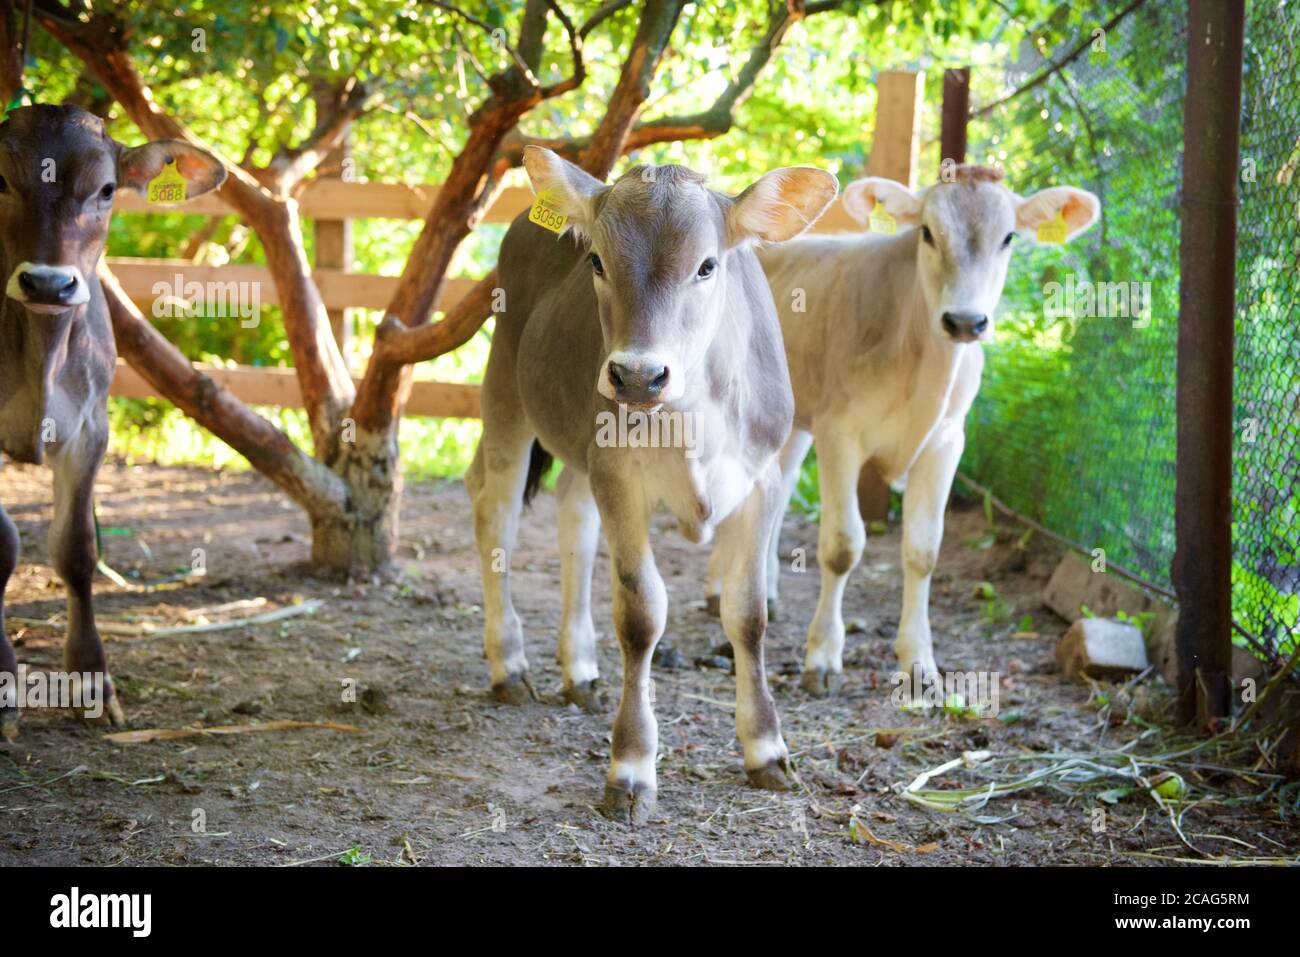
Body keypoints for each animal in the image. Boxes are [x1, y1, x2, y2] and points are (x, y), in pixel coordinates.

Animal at [0, 105, 225, 740]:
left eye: (105, 189)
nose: (48, 283)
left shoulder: (91, 429)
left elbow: (77, 549)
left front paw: (92, 682)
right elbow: (2, 545)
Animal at [468, 146, 837, 822]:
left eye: (707, 265)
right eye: (596, 260)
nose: (638, 375)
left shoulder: (762, 481)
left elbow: (748, 614)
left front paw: (766, 748)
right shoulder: (620, 475)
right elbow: (641, 614)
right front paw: (632, 766)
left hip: (580, 445)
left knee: (574, 522)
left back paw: (581, 669)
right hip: (504, 387)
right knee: (495, 511)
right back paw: (509, 665)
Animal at [705, 165, 1100, 697]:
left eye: (1009, 238)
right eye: (927, 233)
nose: (965, 321)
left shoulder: (947, 441)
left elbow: (923, 550)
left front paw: (919, 661)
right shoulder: (839, 432)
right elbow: (842, 546)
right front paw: (822, 656)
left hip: (791, 420)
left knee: (777, 491)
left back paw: (762, 588)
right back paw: (717, 588)